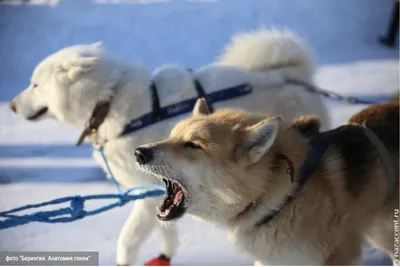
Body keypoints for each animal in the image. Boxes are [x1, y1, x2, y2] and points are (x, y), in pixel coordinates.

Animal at [9, 28, 330, 266]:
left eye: (35, 85)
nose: (10, 106)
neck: (110, 102)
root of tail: (291, 74)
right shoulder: (159, 187)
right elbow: (165, 227)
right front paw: (164, 256)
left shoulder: (146, 192)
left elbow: (128, 239)